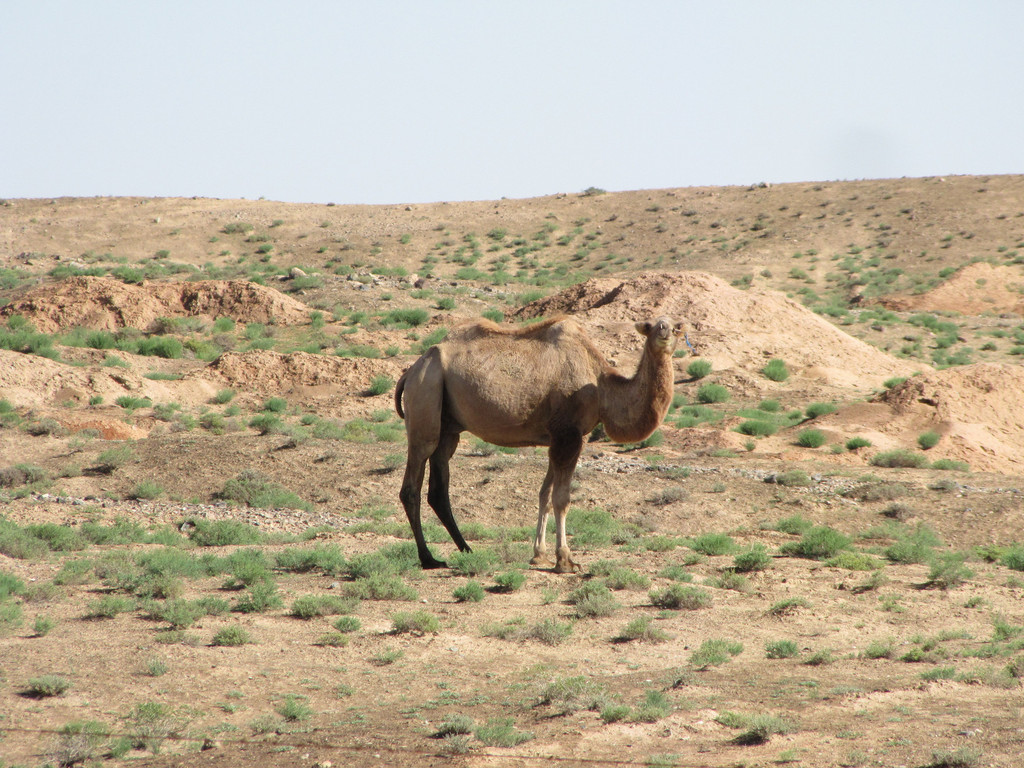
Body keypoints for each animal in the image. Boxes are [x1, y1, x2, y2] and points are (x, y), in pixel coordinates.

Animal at [395, 315, 684, 573]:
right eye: (650, 325)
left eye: (677, 325)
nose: (664, 330)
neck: (600, 384)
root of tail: (411, 371)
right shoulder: (568, 435)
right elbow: (561, 498)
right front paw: (565, 561)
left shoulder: (562, 437)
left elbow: (544, 494)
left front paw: (539, 554)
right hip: (426, 395)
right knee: (412, 483)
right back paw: (428, 558)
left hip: (448, 425)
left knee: (438, 485)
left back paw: (466, 549)